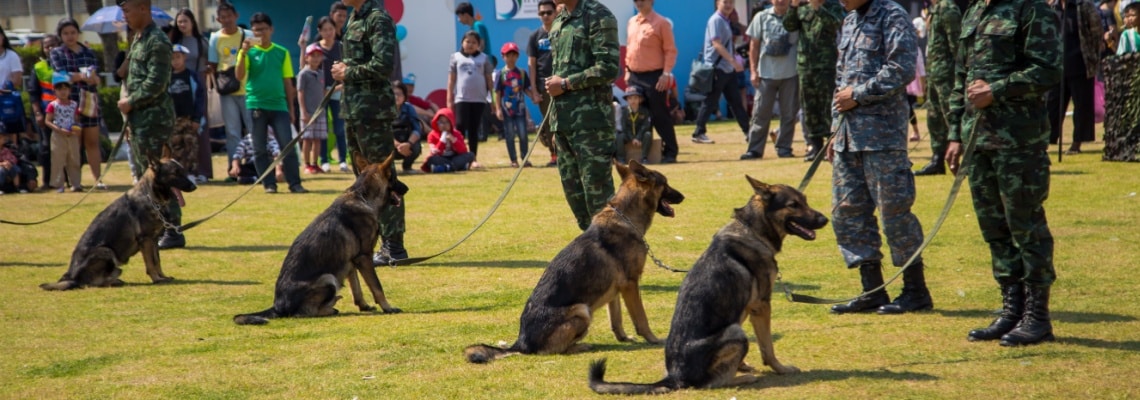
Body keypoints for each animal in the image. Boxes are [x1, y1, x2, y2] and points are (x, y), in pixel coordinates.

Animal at [40, 153, 198, 291]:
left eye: (183, 171)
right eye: (175, 173)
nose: (194, 187)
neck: (151, 197)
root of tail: (71, 277)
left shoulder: (153, 240)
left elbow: (157, 261)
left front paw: (162, 277)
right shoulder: (146, 240)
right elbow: (151, 263)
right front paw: (157, 279)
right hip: (106, 250)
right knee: (90, 284)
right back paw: (113, 281)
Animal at [233, 153, 408, 325]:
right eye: (394, 178)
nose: (407, 188)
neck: (363, 198)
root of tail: (278, 307)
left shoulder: (351, 261)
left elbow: (356, 287)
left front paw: (364, 306)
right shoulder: (364, 257)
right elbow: (377, 286)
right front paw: (388, 307)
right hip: (328, 279)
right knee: (303, 313)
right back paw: (330, 308)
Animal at [465, 161, 684, 364]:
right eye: (665, 183)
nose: (683, 196)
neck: (626, 217)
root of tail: (520, 343)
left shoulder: (616, 290)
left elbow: (616, 319)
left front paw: (623, 338)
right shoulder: (631, 284)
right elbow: (641, 318)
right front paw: (654, 339)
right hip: (582, 310)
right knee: (552, 351)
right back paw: (581, 346)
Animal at [588, 177, 829, 394]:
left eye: (805, 201)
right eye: (793, 205)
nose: (825, 219)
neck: (752, 230)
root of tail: (674, 376)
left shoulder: (742, 308)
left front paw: (741, 365)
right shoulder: (761, 306)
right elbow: (767, 347)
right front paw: (780, 368)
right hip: (735, 332)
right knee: (711, 384)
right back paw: (744, 379)